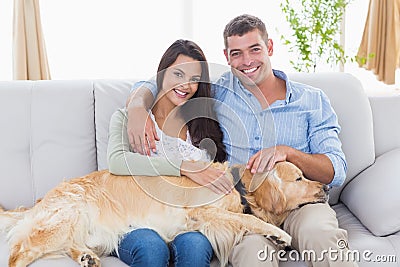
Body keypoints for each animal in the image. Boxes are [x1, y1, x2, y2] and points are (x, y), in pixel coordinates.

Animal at [0, 161, 328, 267]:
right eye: (299, 178)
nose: (326, 187)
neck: (240, 187)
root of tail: (42, 200)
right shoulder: (204, 213)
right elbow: (248, 218)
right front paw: (281, 234)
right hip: (69, 214)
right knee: (17, 254)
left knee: (69, 245)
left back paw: (86, 257)